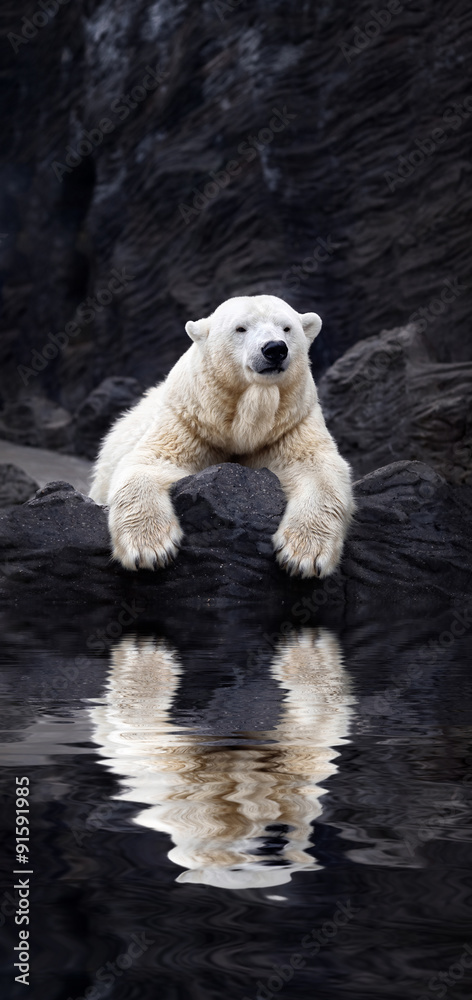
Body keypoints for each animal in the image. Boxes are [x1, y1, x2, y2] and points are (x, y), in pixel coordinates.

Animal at [89, 294, 354, 578]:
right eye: (241, 328)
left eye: (286, 328)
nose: (275, 349)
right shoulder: (189, 422)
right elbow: (150, 462)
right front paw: (149, 548)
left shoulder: (292, 424)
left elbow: (316, 468)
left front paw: (304, 556)